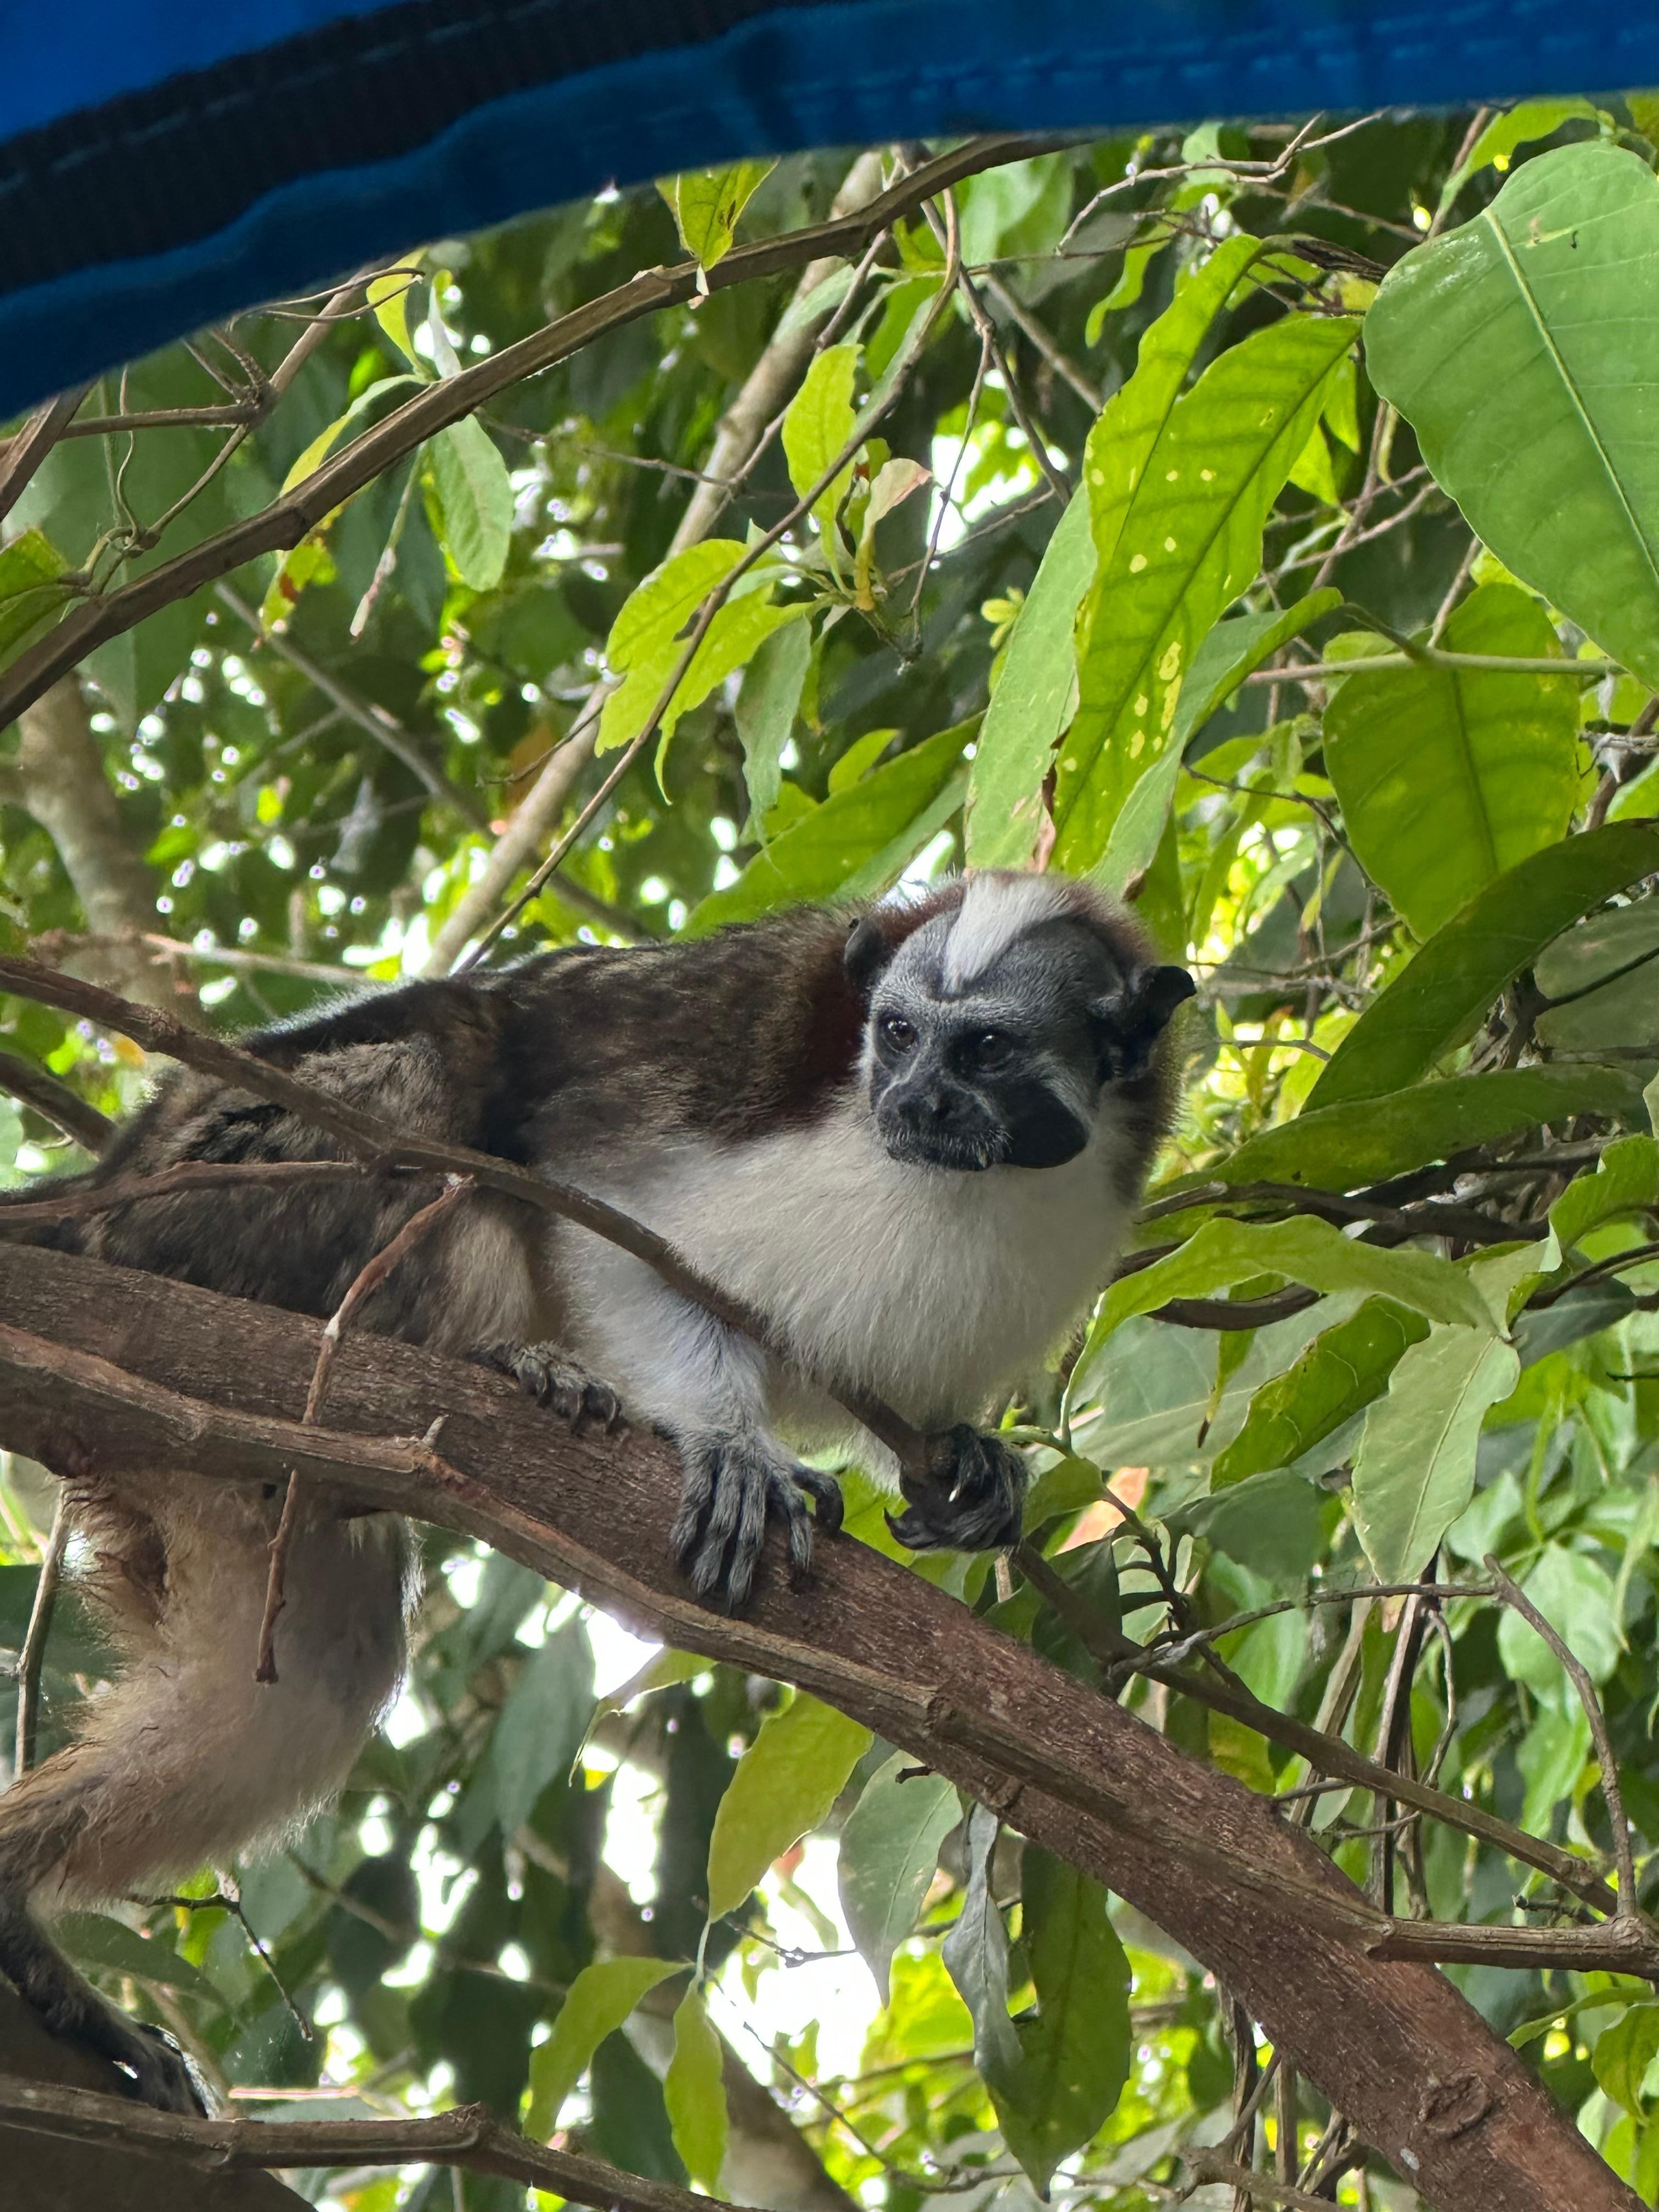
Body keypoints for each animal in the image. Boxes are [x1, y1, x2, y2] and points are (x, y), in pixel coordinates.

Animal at [0, 868, 1193, 2110]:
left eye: (986, 1050)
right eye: (900, 1035)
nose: (910, 1100)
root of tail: (97, 1196)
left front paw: (967, 1459)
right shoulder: (718, 1088)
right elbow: (600, 1212)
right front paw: (729, 1441)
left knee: (305, 1686)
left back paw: (19, 1914)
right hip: (207, 1208)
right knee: (434, 1100)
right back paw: (496, 1359)